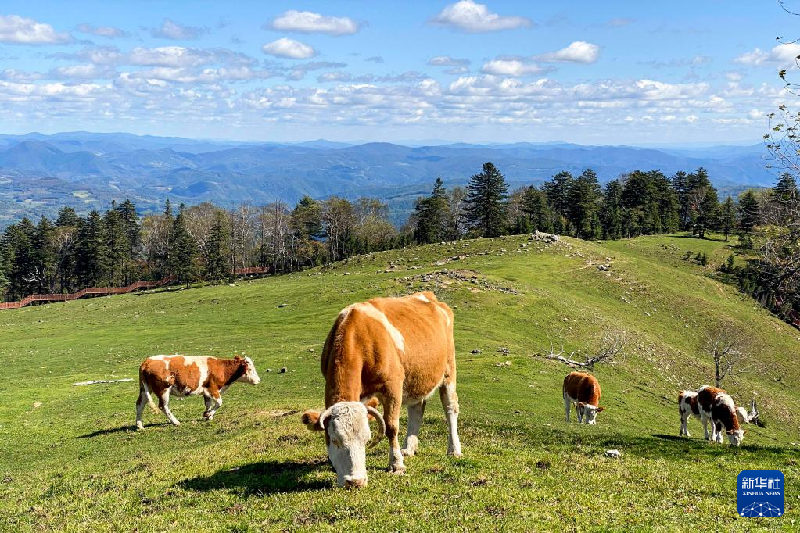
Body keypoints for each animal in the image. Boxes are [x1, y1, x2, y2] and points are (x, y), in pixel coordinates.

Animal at [302, 290, 462, 486]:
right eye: (334, 439)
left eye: (367, 439)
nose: (356, 481)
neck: (359, 338)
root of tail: (428, 296)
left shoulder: (392, 386)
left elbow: (391, 426)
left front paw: (396, 464)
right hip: (416, 376)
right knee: (416, 408)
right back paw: (409, 448)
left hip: (448, 371)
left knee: (450, 408)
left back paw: (454, 449)